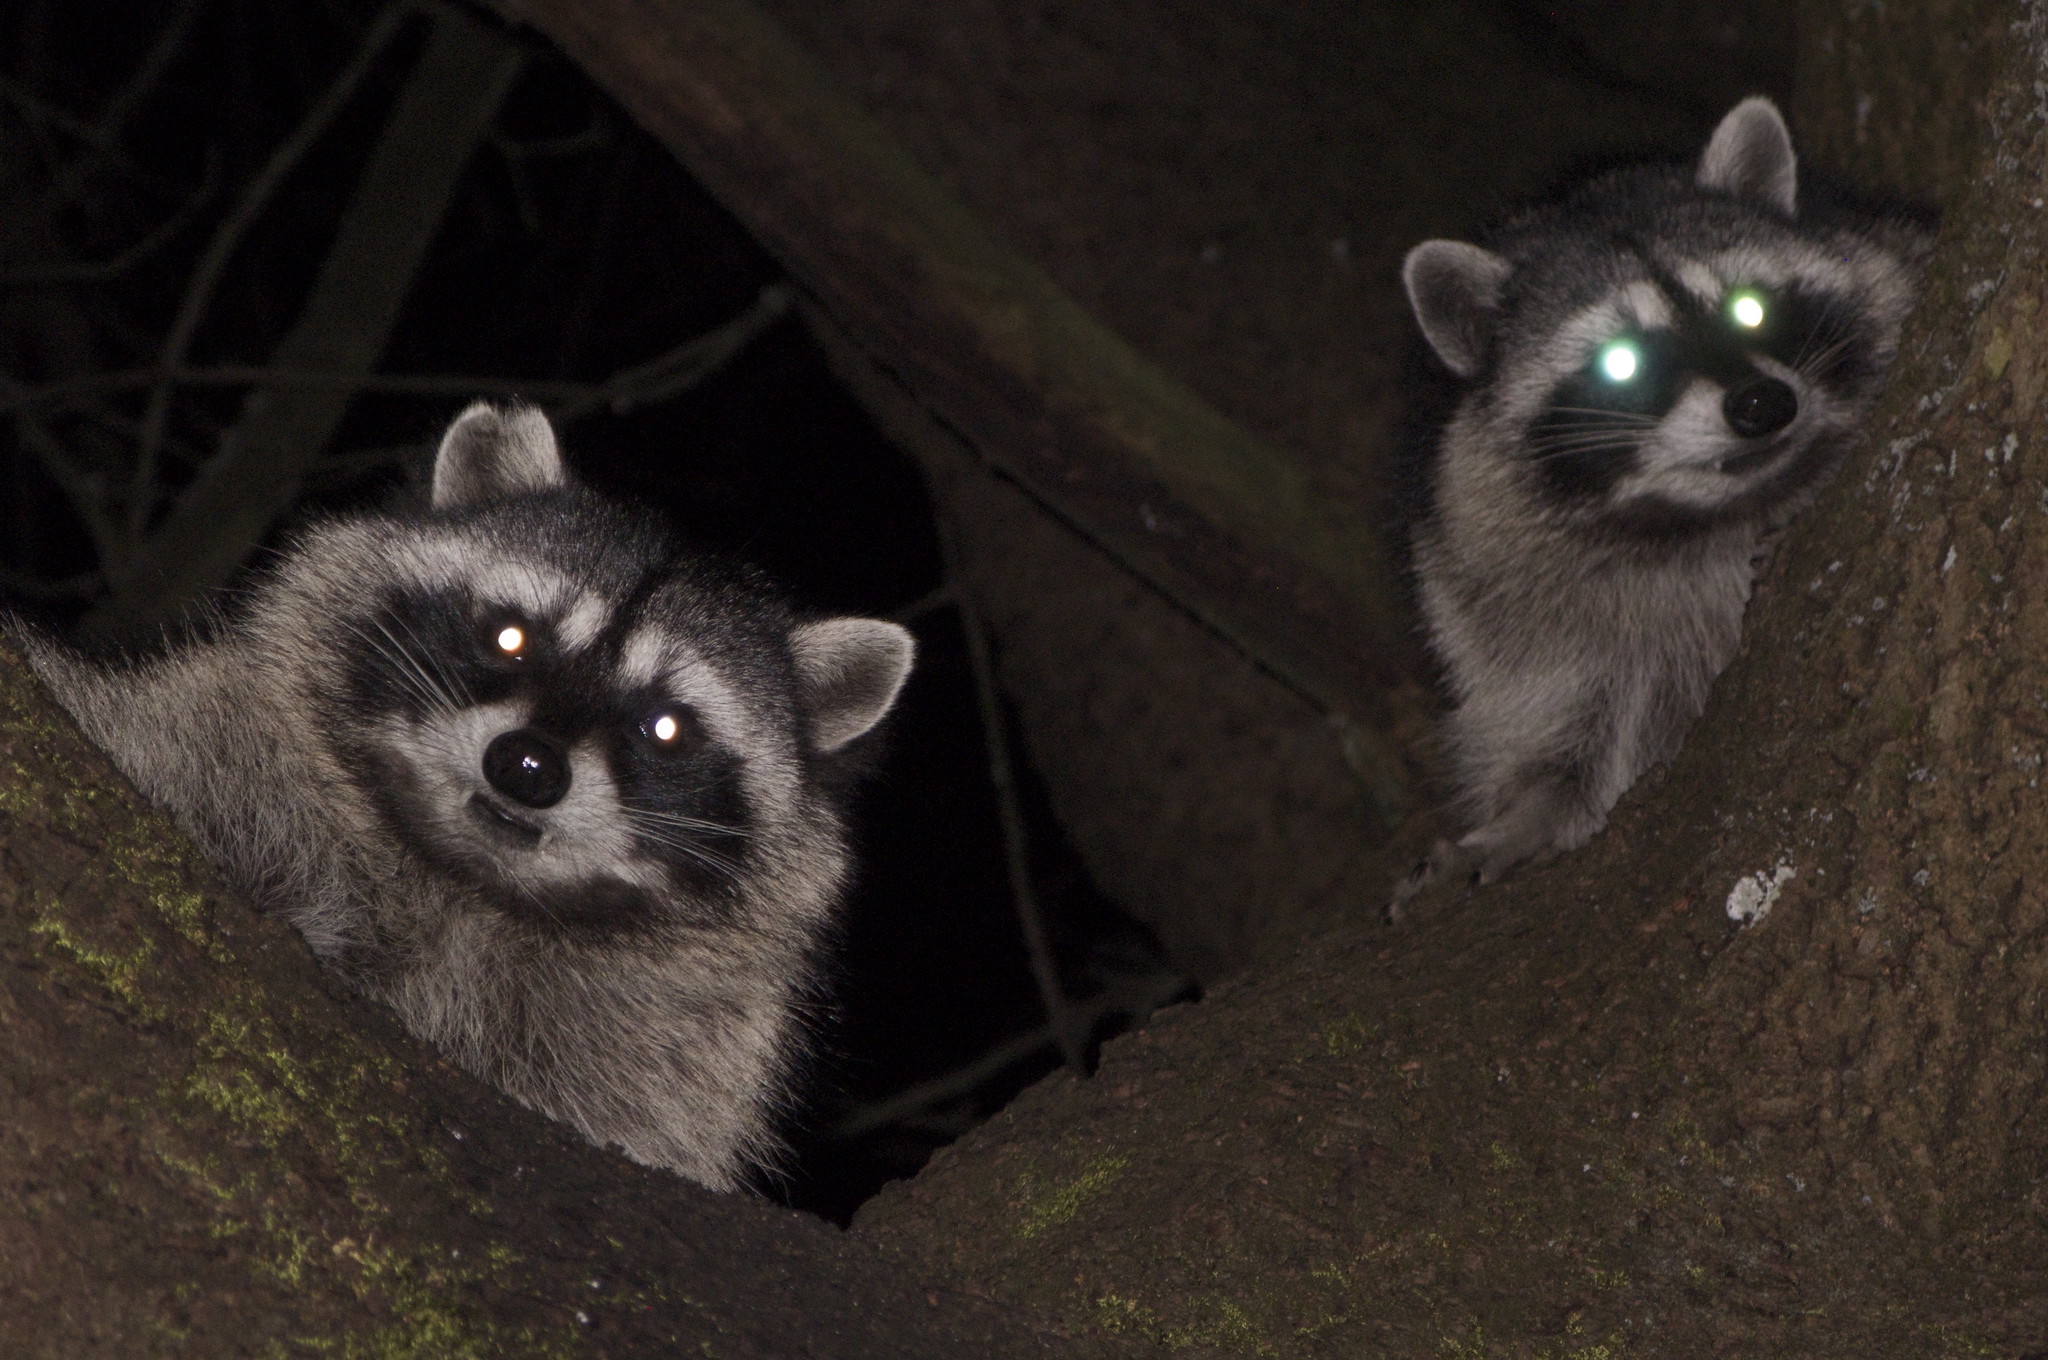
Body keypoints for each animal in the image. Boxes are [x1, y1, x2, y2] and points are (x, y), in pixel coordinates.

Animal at [1384, 90, 1925, 909]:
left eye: (1749, 307)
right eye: (1622, 361)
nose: (1763, 404)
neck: (1708, 517)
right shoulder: (1495, 579)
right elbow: (1564, 715)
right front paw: (1534, 809)